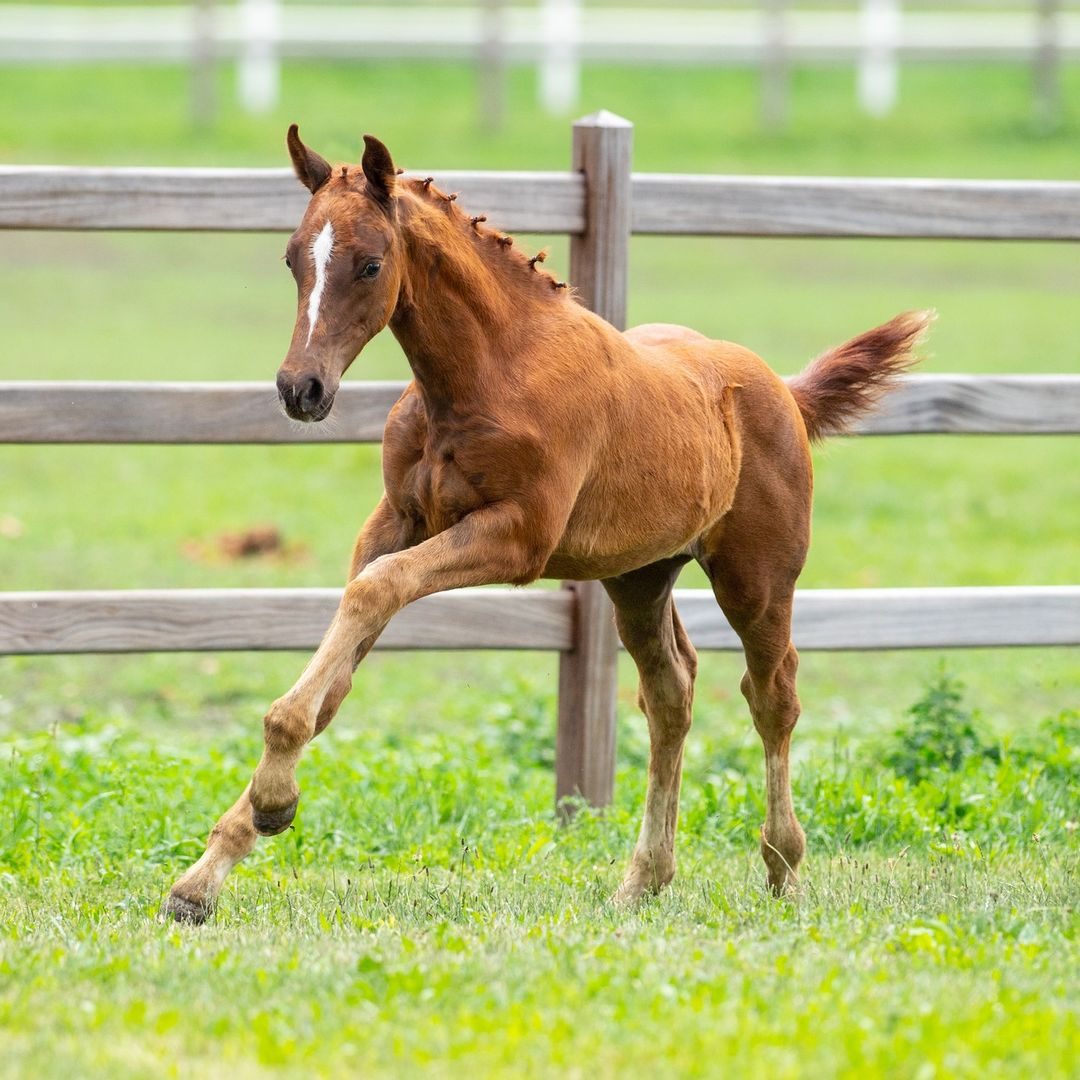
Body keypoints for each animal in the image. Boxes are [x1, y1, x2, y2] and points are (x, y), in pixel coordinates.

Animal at [163, 127, 929, 923]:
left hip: (758, 577)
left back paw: (782, 868)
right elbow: (339, 665)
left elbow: (375, 592)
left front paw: (269, 804)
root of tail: (784, 389)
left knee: (772, 694)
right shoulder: (397, 520)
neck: (487, 375)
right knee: (671, 695)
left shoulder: (518, 537)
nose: (300, 389)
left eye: (370, 264)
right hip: (639, 577)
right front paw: (209, 870)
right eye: (292, 257)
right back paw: (643, 879)